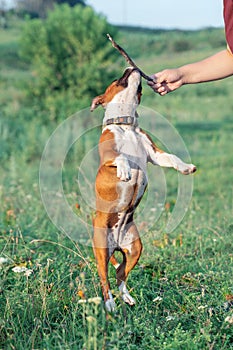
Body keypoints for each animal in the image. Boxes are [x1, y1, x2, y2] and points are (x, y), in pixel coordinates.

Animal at [90, 68, 196, 312]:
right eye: (116, 80)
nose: (131, 68)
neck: (126, 126)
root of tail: (116, 243)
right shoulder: (109, 155)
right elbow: (121, 158)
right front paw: (125, 171)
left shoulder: (153, 153)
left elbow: (171, 158)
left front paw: (186, 167)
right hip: (101, 250)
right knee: (104, 279)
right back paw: (110, 305)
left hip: (135, 248)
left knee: (121, 273)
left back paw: (126, 297)